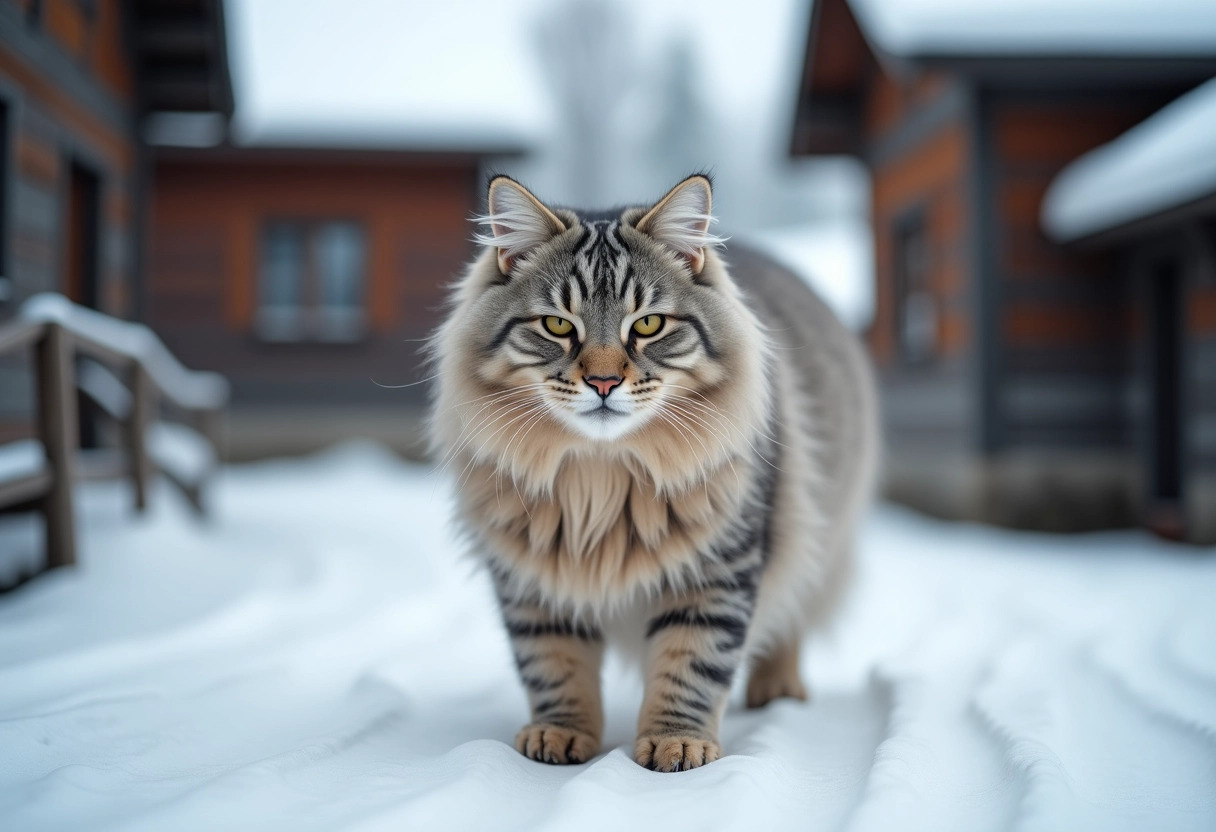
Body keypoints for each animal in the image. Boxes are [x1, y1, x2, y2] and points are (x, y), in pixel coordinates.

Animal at [432, 173, 880, 773]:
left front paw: (677, 743)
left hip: (813, 538)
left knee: (790, 617)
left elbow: (690, 665)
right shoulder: (531, 577)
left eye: (647, 324)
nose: (602, 382)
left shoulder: (718, 568)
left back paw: (777, 690)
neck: (599, 478)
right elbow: (554, 665)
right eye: (556, 325)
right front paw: (559, 734)